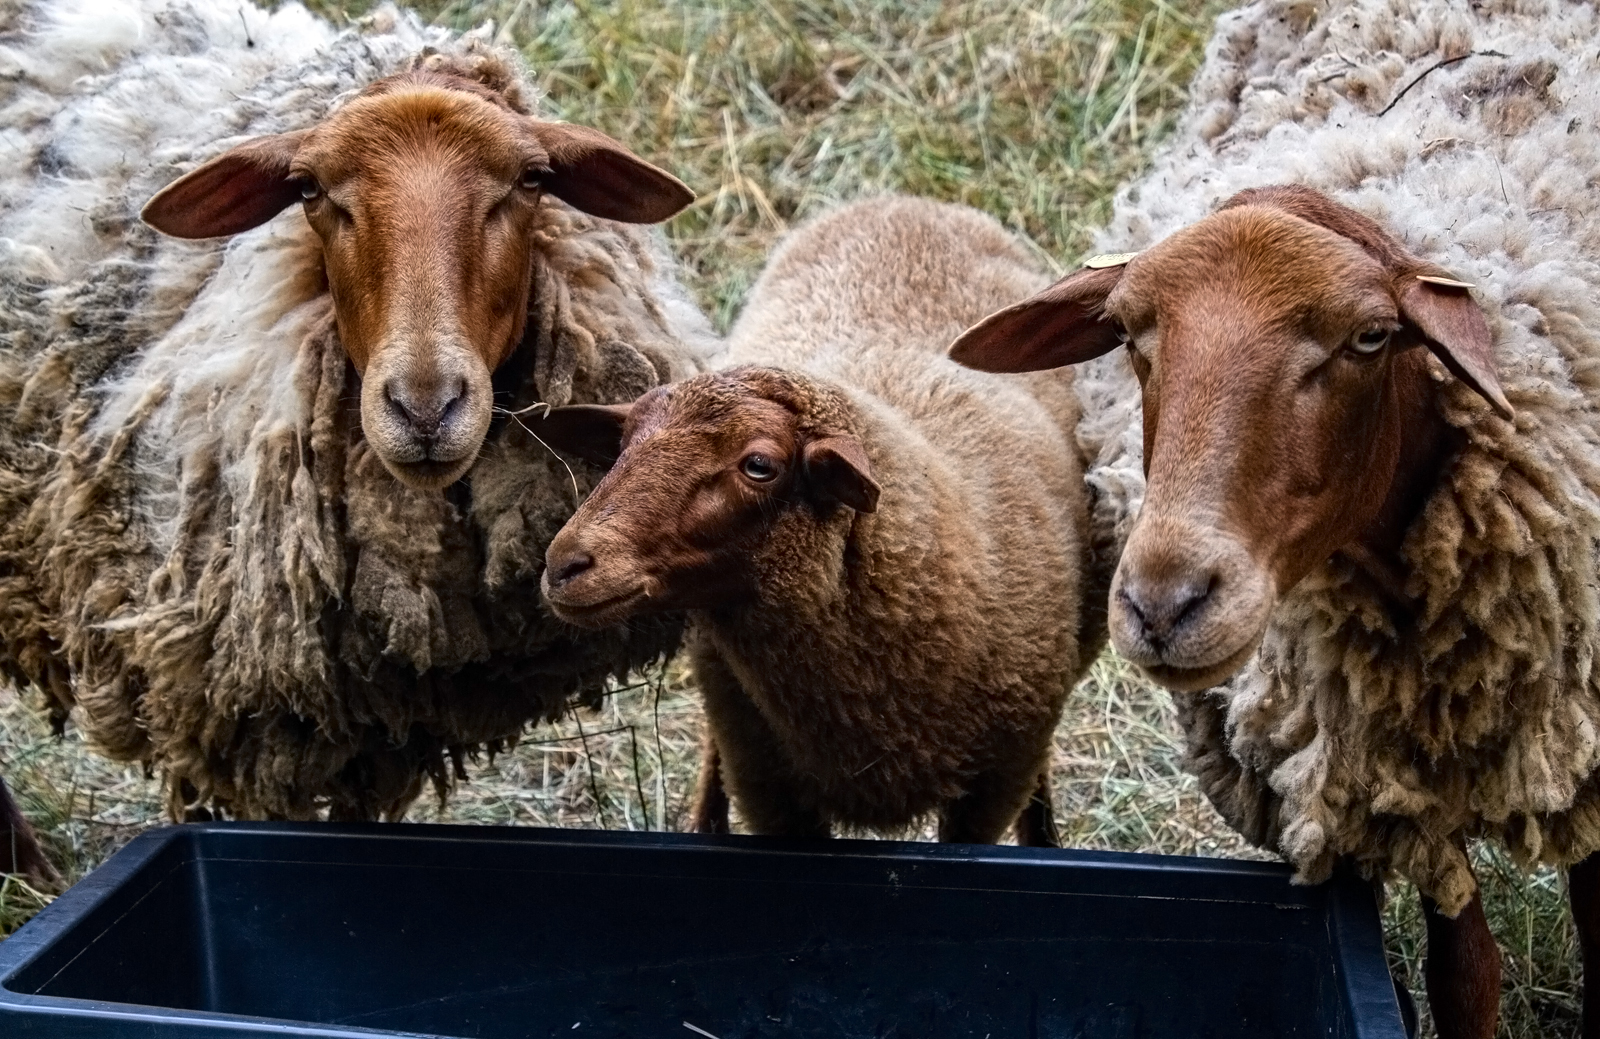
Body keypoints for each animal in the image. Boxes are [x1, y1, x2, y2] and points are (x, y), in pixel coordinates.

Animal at [534, 194, 1100, 845]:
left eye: (759, 465)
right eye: (623, 443)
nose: (564, 564)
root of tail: (901, 201)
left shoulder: (995, 779)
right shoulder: (770, 785)